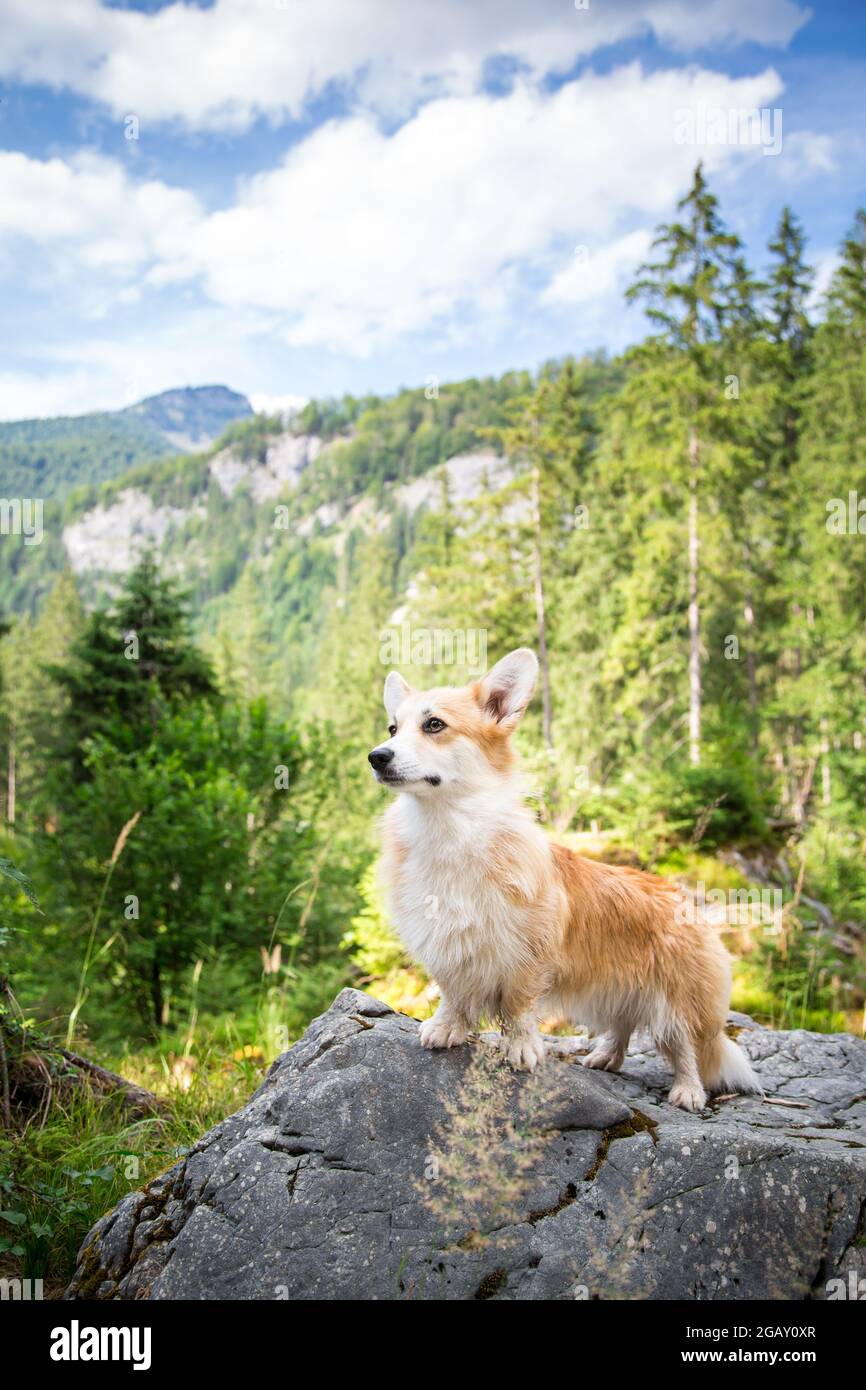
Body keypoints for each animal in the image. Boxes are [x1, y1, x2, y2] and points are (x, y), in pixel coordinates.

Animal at [369, 644, 761, 1112]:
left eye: (434, 725)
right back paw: (606, 1057)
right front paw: (446, 1027)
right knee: (623, 1025)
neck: (449, 826)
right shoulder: (447, 948)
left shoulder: (529, 955)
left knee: (682, 1047)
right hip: (615, 990)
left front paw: (522, 1049)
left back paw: (687, 1091)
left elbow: (519, 1008)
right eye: (393, 728)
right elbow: (454, 994)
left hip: (677, 1002)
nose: (376, 756)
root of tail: (685, 899)